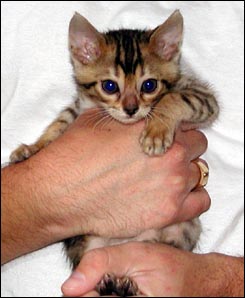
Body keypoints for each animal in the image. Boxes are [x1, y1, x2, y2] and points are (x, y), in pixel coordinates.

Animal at [10, 10, 219, 296]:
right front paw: (33, 147)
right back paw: (113, 281)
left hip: (183, 229)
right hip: (87, 241)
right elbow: (59, 123)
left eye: (149, 85)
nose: (131, 109)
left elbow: (174, 98)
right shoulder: (79, 109)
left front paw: (156, 131)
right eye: (110, 86)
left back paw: (126, 283)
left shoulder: (203, 96)